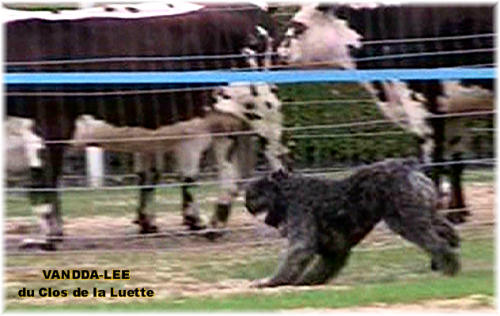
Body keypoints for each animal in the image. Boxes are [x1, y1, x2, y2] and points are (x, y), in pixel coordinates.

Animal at [5, 2, 284, 249]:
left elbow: (41, 185)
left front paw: (45, 240)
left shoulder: (47, 127)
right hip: (224, 122)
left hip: (265, 111)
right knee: (228, 176)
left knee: (278, 162)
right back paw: (212, 227)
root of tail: (253, 9)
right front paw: (53, 234)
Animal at [244, 159, 458, 288]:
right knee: (444, 230)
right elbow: (322, 267)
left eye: (257, 190)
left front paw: (271, 282)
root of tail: (411, 168)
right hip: (425, 213)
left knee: (433, 241)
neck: (288, 191)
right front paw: (305, 282)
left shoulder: (300, 212)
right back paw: (447, 253)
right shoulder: (335, 249)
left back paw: (449, 267)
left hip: (406, 220)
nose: (246, 203)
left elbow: (299, 251)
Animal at [278, 4, 496, 222]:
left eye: (298, 27)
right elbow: (456, 162)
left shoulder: (421, 105)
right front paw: (457, 213)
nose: (279, 53)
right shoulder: (453, 110)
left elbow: (432, 166)